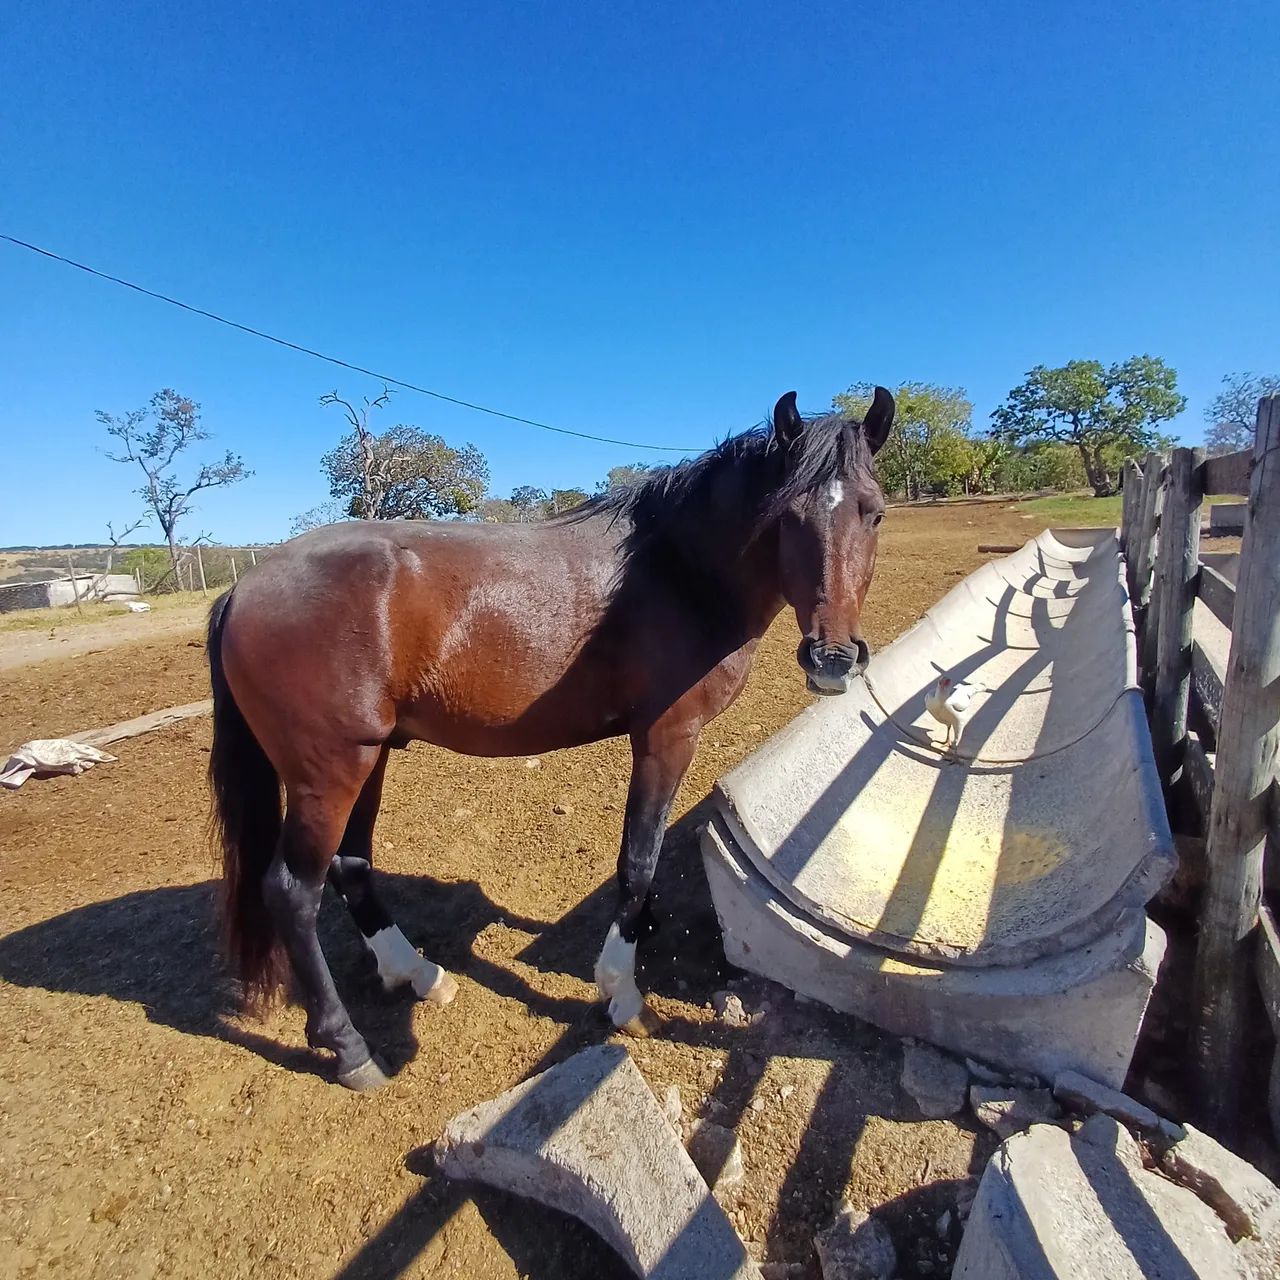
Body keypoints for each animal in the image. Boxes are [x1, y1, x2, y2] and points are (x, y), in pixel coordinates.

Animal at [207, 387, 895, 1089]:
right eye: (788, 516)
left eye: (874, 514)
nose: (832, 660)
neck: (676, 569)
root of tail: (242, 589)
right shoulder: (666, 738)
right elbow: (637, 861)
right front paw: (622, 992)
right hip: (329, 774)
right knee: (293, 893)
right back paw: (350, 1050)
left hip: (367, 761)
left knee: (351, 867)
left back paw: (418, 974)